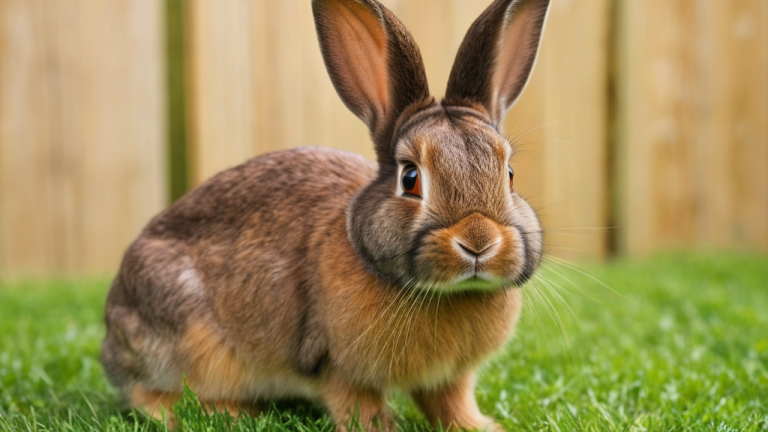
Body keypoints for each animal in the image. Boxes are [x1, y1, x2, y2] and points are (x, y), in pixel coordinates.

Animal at [100, 0, 550, 430]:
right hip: (186, 340)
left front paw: (482, 426)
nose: (479, 242)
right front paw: (381, 429)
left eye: (509, 174)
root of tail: (110, 338)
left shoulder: (448, 378)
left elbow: (451, 404)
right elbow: (358, 406)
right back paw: (229, 414)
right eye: (410, 179)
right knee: (152, 396)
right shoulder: (338, 367)